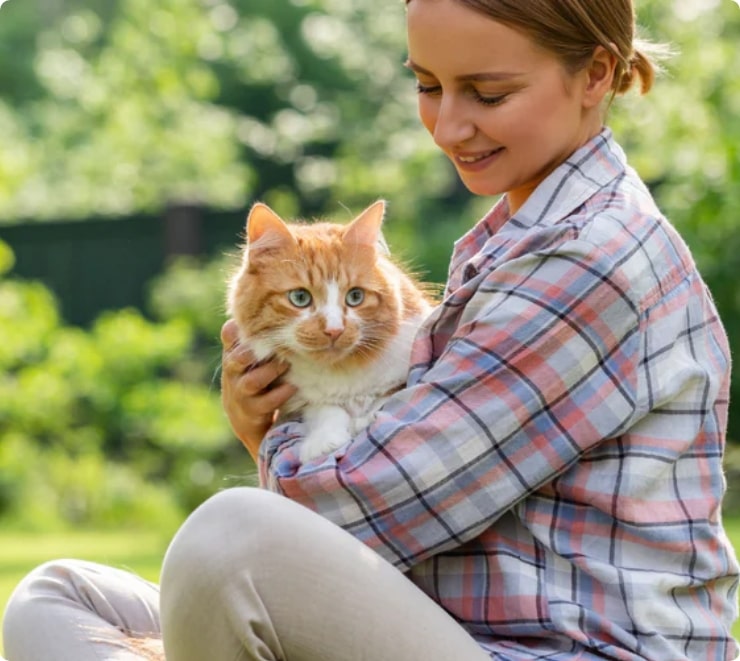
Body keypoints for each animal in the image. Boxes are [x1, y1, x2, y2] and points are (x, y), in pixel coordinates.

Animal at [225, 199, 434, 462]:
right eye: (300, 297)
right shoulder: (300, 399)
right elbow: (324, 409)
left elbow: (386, 396)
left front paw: (364, 419)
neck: (340, 372)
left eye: (355, 296)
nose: (334, 330)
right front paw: (325, 441)